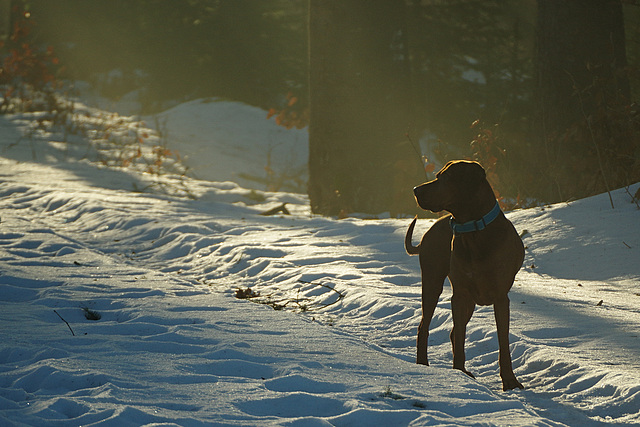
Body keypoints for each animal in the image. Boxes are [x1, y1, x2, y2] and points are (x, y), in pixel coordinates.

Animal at [404, 160, 524, 392]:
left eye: (445, 178)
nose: (415, 190)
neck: (474, 230)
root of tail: (429, 231)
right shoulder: (459, 295)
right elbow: (460, 337)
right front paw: (458, 373)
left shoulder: (500, 297)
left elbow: (503, 341)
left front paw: (509, 380)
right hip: (433, 282)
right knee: (425, 326)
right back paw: (423, 363)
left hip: (467, 300)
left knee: (450, 330)